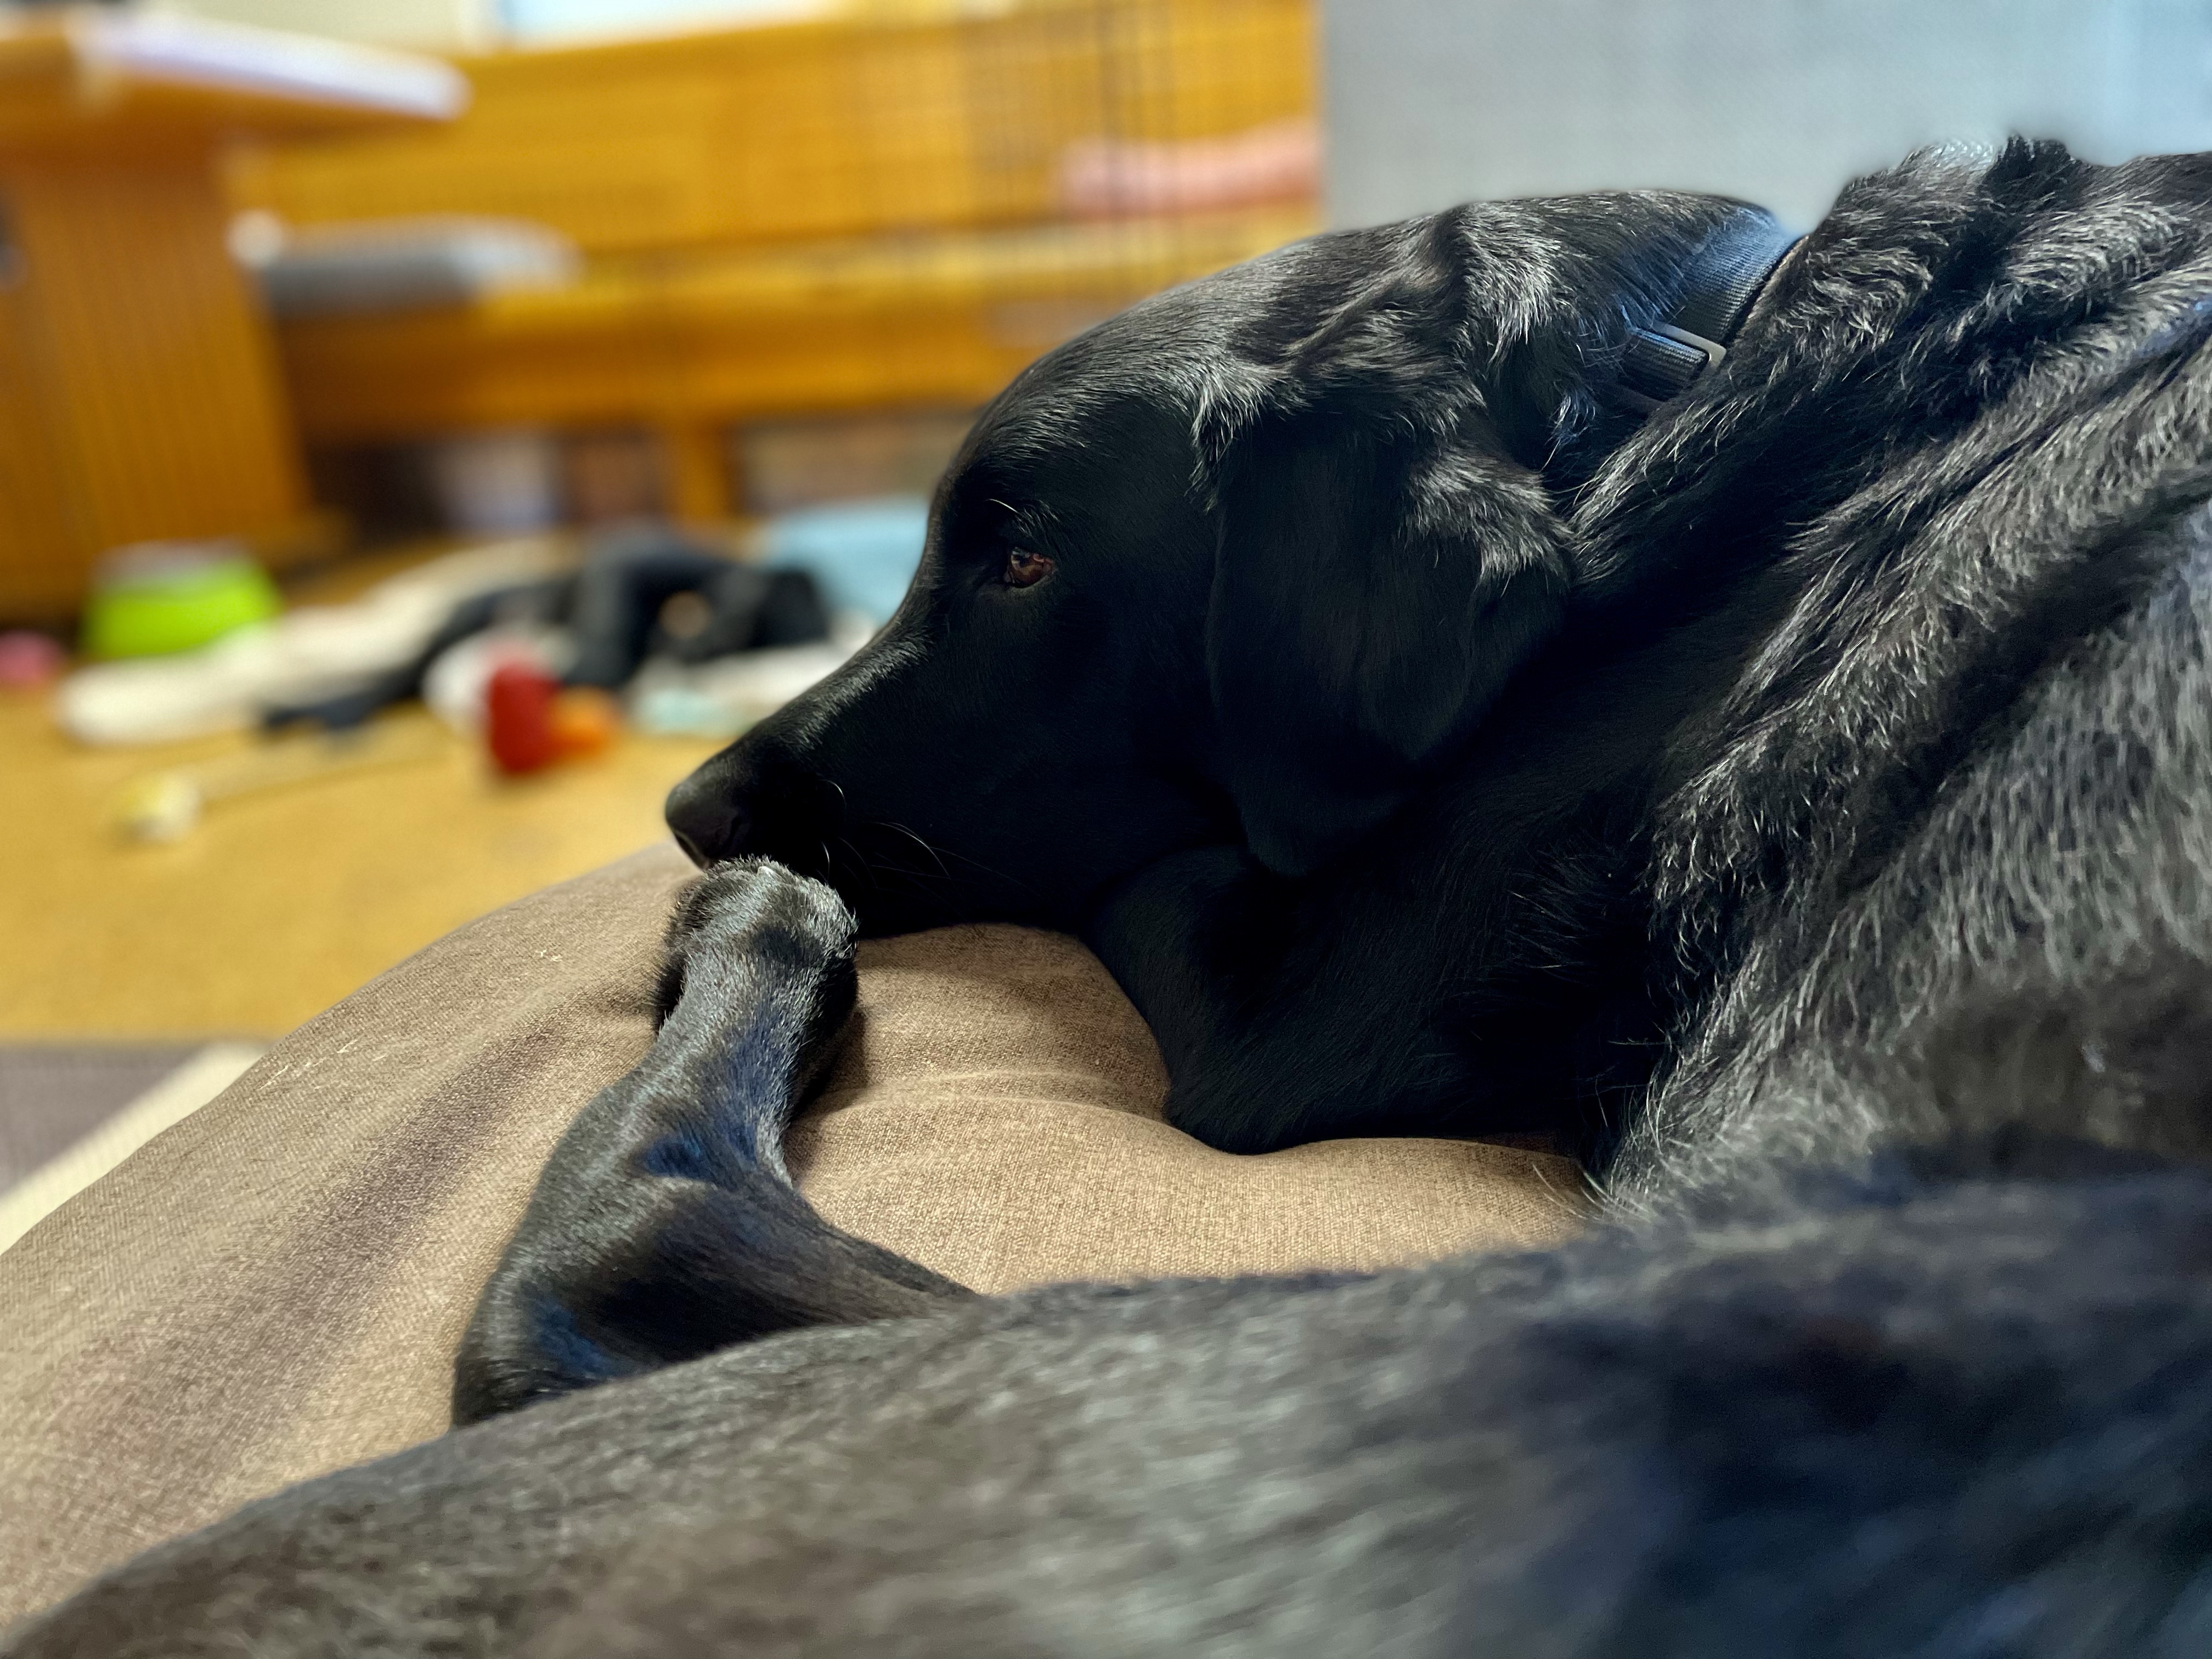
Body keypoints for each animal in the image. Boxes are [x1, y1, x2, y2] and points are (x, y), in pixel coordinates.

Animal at [15, 139, 2212, 1655]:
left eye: (1022, 562)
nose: (694, 799)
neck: (1703, 387)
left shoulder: (1291, 1005)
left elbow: (1168, 850)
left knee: (623, 1231)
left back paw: (764, 935)